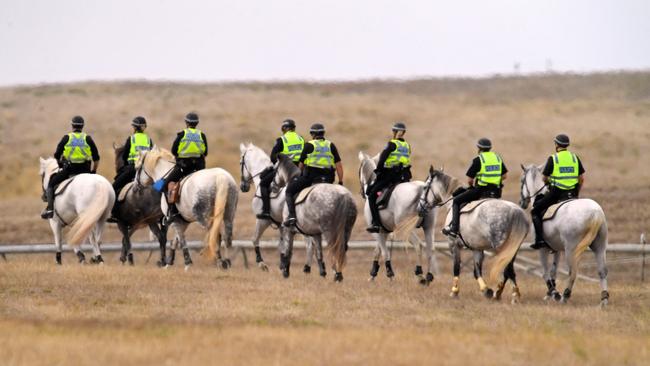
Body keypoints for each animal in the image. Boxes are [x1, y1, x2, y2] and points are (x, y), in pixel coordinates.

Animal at [356, 152, 438, 284]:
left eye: (359, 171)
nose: (363, 193)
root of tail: (420, 189)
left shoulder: (377, 232)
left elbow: (385, 253)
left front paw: (390, 275)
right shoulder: (384, 231)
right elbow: (377, 251)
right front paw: (373, 274)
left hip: (407, 230)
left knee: (418, 246)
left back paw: (420, 274)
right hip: (429, 228)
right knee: (431, 249)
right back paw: (429, 276)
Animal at [428, 169, 528, 304]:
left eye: (425, 187)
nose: (422, 206)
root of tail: (515, 211)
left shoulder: (454, 244)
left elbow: (456, 268)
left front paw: (454, 292)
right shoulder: (477, 249)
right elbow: (477, 271)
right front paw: (486, 290)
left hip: (501, 247)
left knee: (507, 269)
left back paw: (511, 295)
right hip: (513, 249)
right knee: (508, 270)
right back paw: (502, 294)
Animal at [516, 164, 608, 306]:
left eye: (522, 181)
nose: (522, 203)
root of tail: (595, 212)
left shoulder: (542, 249)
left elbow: (545, 272)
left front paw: (554, 293)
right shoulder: (556, 249)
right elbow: (553, 271)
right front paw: (550, 294)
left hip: (571, 249)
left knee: (572, 272)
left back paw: (565, 296)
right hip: (599, 246)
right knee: (602, 271)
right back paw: (604, 300)